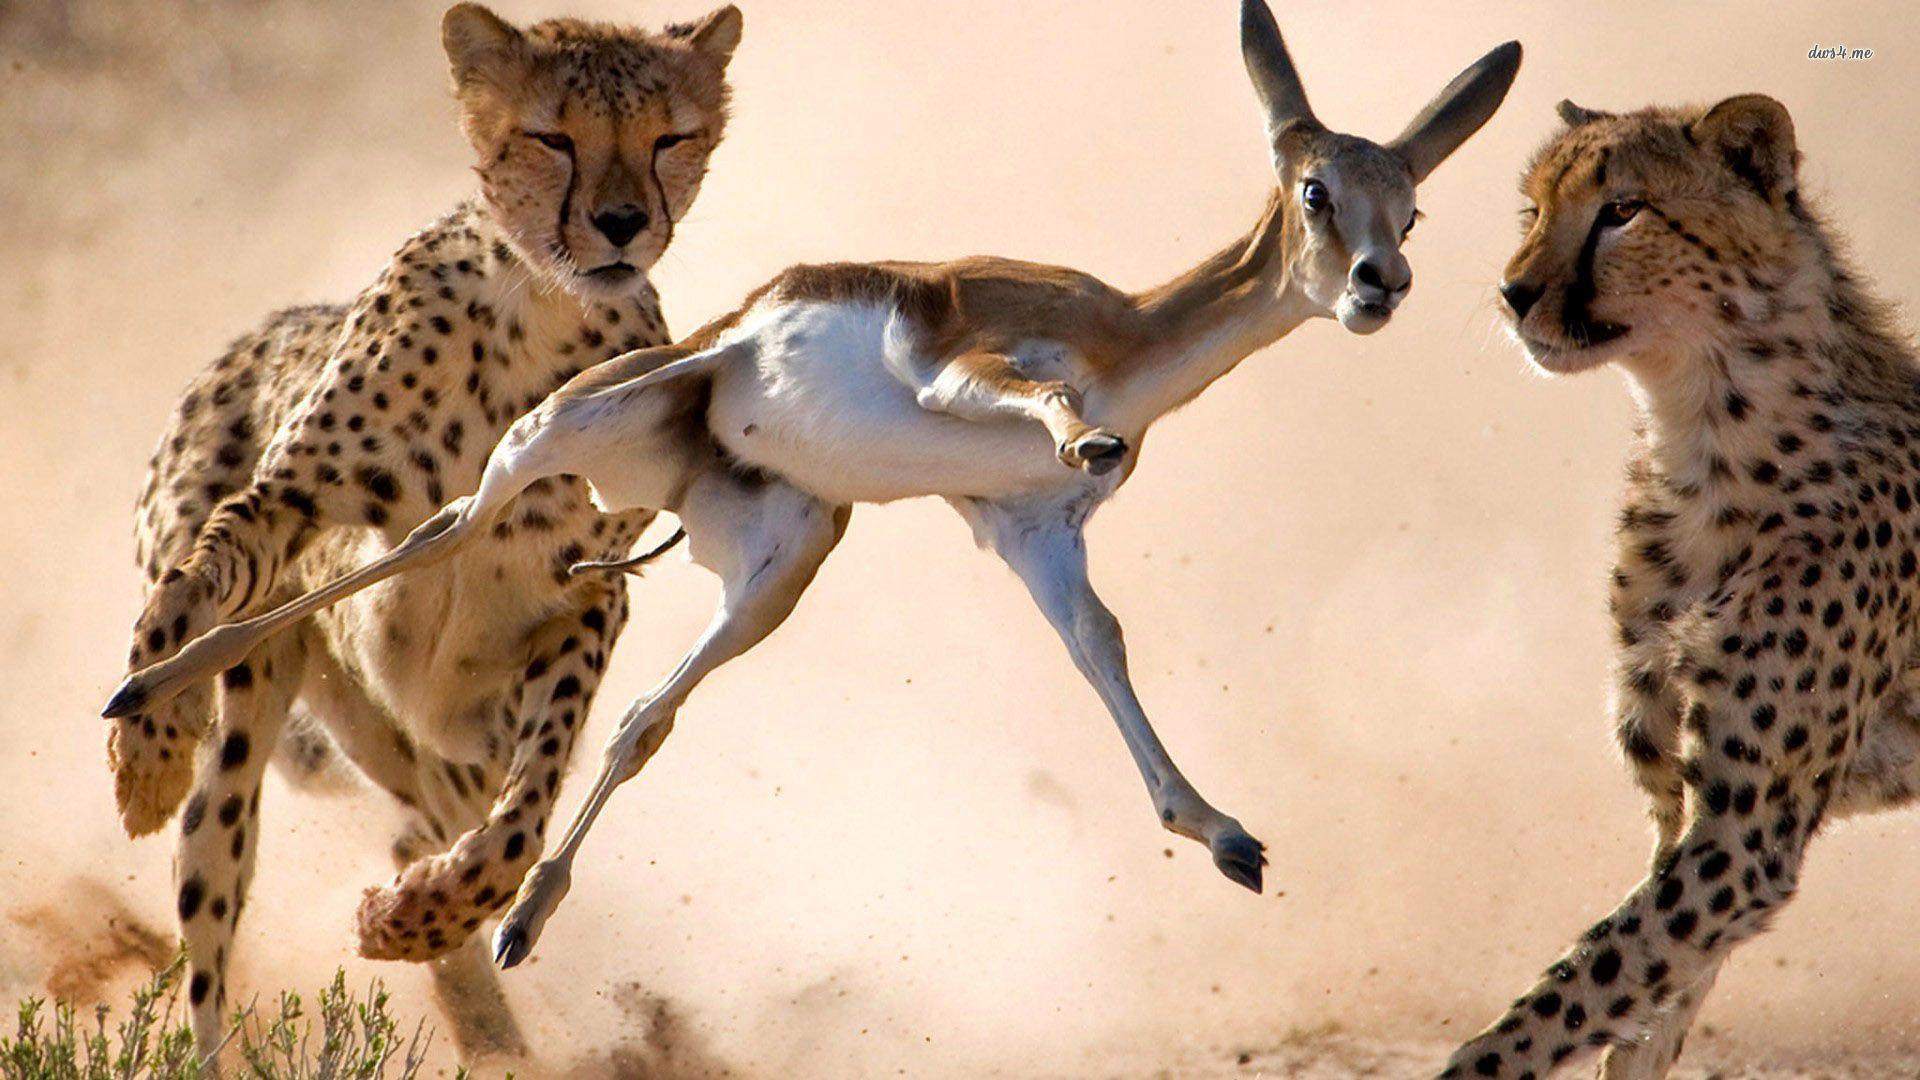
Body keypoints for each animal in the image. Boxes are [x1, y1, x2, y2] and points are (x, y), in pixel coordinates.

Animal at [105, 0, 1521, 969]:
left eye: (1412, 212)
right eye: (1317, 189)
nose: (1378, 287)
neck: (1124, 336)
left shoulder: (1031, 533)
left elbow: (1101, 646)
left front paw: (1225, 836)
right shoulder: (955, 364)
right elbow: (1046, 408)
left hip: (781, 561)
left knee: (641, 717)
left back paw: (516, 923)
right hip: (556, 443)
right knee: (427, 536)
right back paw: (144, 704)